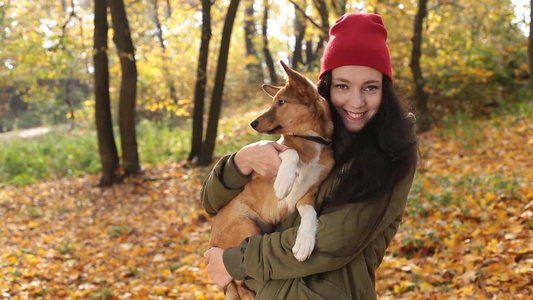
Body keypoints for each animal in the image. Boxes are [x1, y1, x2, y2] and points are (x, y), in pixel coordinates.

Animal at [209, 61, 332, 300]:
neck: (311, 141)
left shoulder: (308, 194)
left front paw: (304, 242)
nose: (252, 123)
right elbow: (289, 153)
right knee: (237, 278)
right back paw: (247, 294)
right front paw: (284, 182)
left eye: (281, 102)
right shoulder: (262, 165)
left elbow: (310, 213)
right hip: (246, 226)